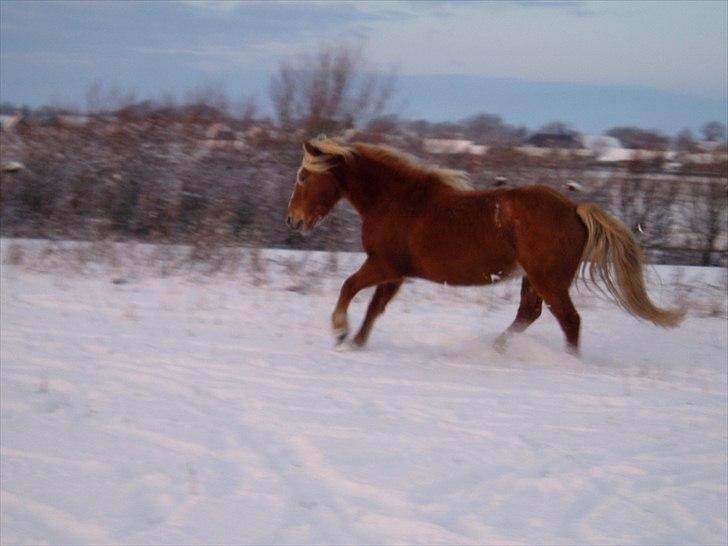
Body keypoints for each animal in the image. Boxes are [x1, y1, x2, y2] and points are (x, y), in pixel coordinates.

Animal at [286, 137, 684, 352]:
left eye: (304, 176)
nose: (292, 220)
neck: (396, 200)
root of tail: (573, 208)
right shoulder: (396, 273)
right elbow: (374, 308)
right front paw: (356, 341)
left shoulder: (383, 264)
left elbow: (348, 287)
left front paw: (339, 330)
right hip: (533, 279)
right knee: (528, 314)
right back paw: (497, 349)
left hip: (549, 281)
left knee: (569, 321)